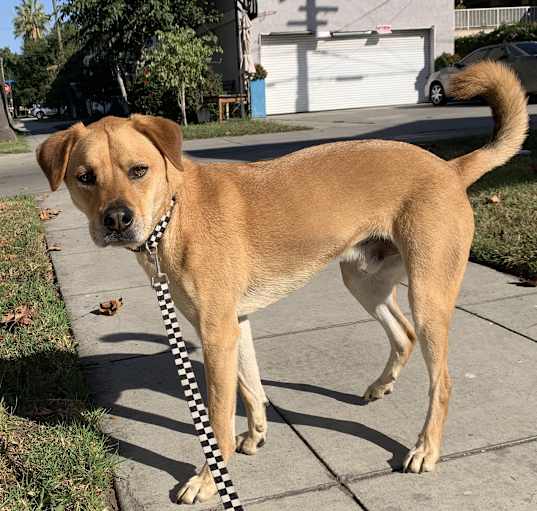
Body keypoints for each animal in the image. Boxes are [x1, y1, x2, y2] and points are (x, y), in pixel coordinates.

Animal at [36, 62, 528, 506]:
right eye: (85, 177)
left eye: (138, 170)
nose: (117, 220)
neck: (174, 214)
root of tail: (450, 168)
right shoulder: (234, 325)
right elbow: (251, 388)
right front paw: (254, 437)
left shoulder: (216, 332)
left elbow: (216, 417)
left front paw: (209, 479)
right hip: (363, 279)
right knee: (402, 334)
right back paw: (381, 386)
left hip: (428, 293)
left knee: (441, 380)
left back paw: (426, 448)